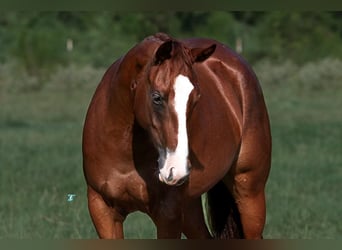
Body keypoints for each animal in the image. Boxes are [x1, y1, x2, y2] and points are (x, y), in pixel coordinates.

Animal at [81, 32, 272, 238]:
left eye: (196, 99)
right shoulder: (103, 211)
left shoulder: (168, 215)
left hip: (249, 194)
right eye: (157, 97)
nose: (177, 169)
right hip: (189, 207)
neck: (124, 150)